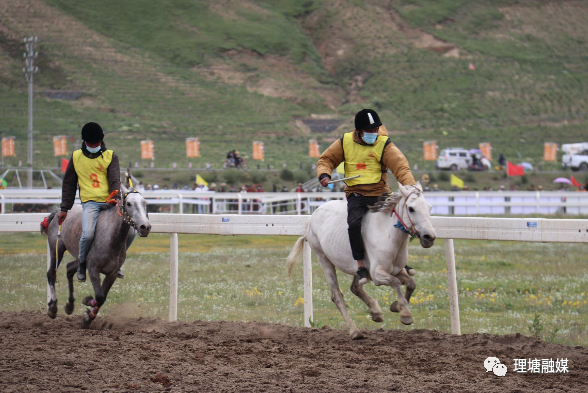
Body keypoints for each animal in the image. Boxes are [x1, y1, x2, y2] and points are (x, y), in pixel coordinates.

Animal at [40, 182, 150, 326]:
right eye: (129, 203)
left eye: (145, 203)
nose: (145, 227)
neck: (111, 238)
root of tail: (58, 212)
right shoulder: (93, 269)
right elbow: (99, 296)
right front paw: (87, 302)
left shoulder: (112, 273)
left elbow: (102, 297)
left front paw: (87, 318)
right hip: (56, 249)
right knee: (51, 274)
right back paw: (52, 308)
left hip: (79, 259)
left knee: (69, 268)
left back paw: (70, 305)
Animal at [286, 182, 436, 338]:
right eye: (411, 208)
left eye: (429, 207)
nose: (429, 237)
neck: (387, 233)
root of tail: (312, 217)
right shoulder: (377, 274)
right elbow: (395, 282)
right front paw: (405, 314)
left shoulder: (397, 270)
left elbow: (411, 283)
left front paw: (396, 306)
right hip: (324, 259)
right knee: (337, 295)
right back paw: (354, 331)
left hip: (357, 269)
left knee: (355, 287)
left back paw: (375, 312)